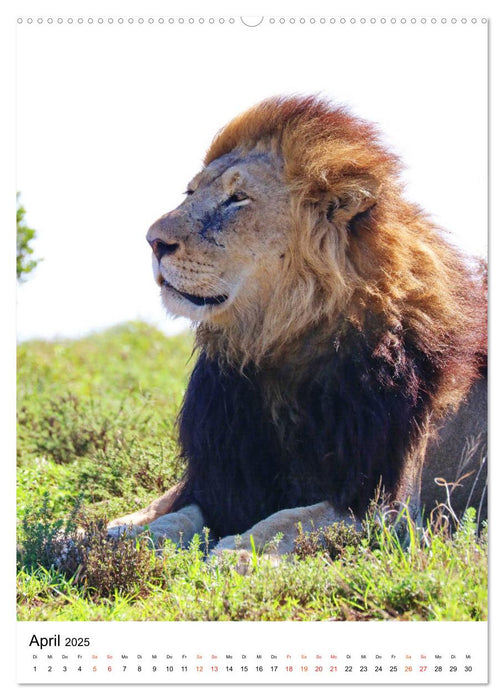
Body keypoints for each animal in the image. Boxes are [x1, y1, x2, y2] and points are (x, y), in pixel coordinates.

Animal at [107, 94, 488, 552]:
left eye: (237, 198)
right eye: (191, 191)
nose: (153, 241)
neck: (275, 345)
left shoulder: (388, 502)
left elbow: (289, 519)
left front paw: (238, 551)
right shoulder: (225, 475)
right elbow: (169, 513)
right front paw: (104, 535)